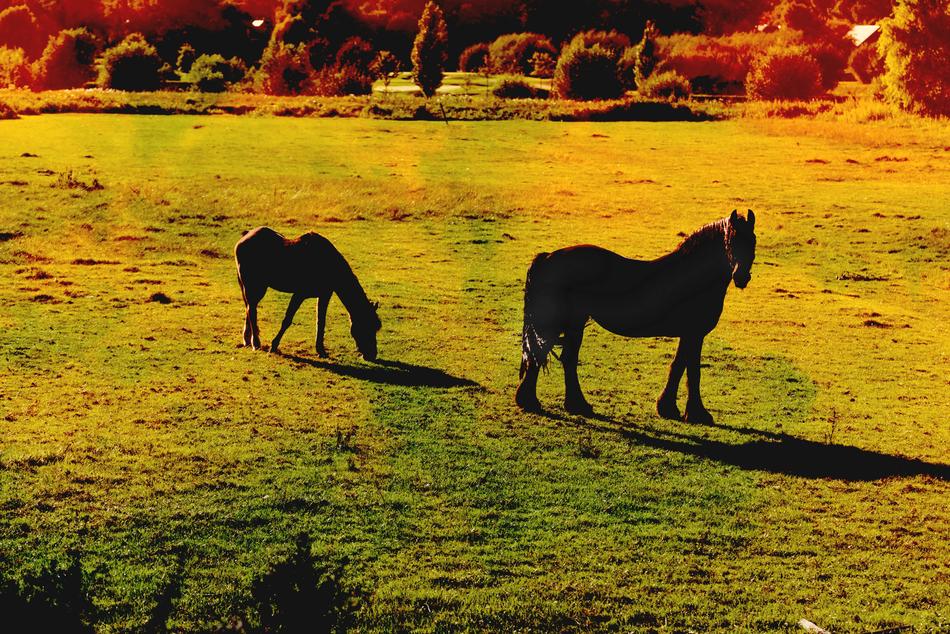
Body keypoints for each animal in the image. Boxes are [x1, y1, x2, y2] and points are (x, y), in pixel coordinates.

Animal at [234, 227, 381, 361]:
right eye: (366, 326)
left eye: (375, 328)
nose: (372, 355)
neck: (327, 264)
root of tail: (245, 236)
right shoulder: (299, 294)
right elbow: (287, 320)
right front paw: (274, 346)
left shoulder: (324, 295)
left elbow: (320, 322)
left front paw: (321, 351)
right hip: (254, 286)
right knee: (251, 310)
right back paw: (255, 343)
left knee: (249, 308)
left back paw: (247, 340)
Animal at [515, 209, 756, 422]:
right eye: (731, 241)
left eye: (753, 241)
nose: (741, 277)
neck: (692, 276)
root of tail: (548, 257)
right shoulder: (694, 333)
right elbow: (692, 371)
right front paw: (696, 414)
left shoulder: (689, 334)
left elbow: (679, 366)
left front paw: (668, 408)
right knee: (545, 355)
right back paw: (534, 402)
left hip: (574, 322)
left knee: (563, 358)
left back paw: (572, 404)